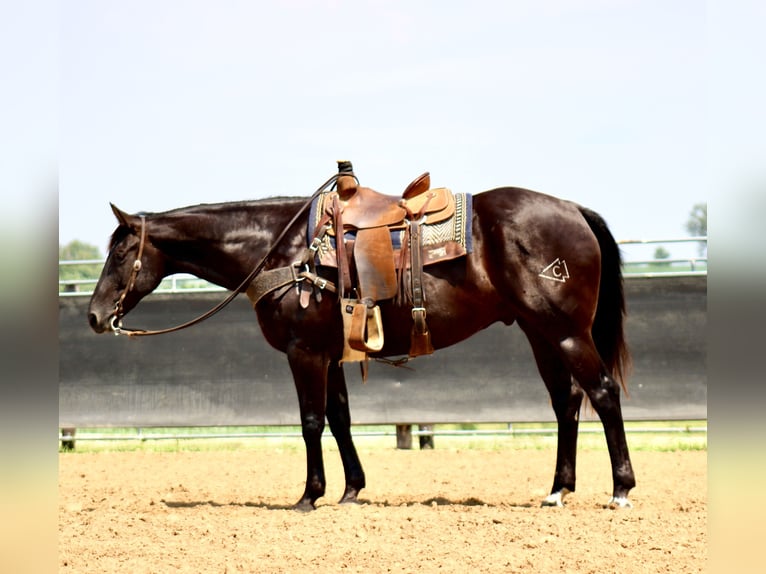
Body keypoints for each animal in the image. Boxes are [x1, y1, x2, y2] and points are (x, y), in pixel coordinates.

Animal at [87, 171, 636, 512]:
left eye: (121, 254)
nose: (94, 315)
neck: (286, 251)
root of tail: (573, 210)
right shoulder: (331, 356)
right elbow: (340, 418)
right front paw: (351, 490)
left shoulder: (304, 352)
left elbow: (311, 421)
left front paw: (309, 496)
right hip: (539, 333)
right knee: (566, 402)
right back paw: (558, 491)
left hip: (565, 332)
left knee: (603, 393)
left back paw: (620, 490)